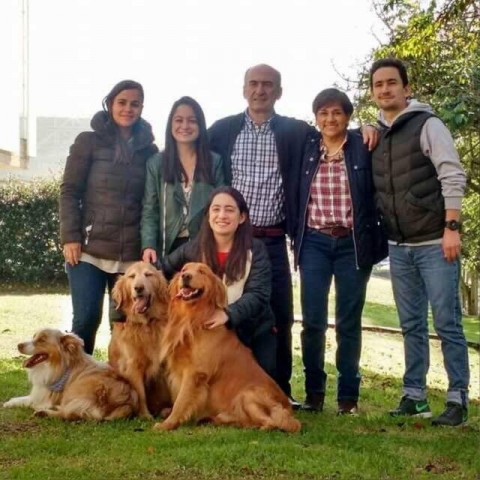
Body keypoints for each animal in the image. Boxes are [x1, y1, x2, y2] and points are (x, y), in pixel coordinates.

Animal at [3, 330, 138, 420]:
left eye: (42, 340)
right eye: (34, 336)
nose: (19, 345)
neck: (60, 365)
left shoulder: (46, 396)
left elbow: (28, 400)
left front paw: (9, 403)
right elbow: (24, 398)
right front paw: (9, 401)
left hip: (73, 392)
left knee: (69, 414)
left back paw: (44, 412)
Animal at [109, 260, 171, 418]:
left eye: (148, 274)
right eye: (131, 276)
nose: (139, 288)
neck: (146, 325)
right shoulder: (133, 365)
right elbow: (140, 393)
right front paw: (144, 416)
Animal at [156, 262, 300, 436]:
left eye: (202, 272)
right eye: (184, 270)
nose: (186, 276)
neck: (193, 318)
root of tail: (288, 408)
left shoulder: (195, 373)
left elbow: (181, 401)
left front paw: (167, 424)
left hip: (247, 395)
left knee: (273, 422)